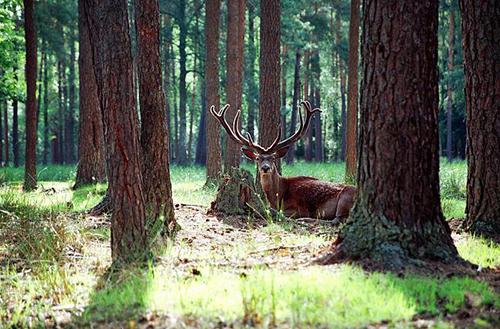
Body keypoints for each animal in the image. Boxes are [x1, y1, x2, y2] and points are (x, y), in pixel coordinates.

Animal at [209, 100, 358, 223]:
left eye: (273, 158)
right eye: (258, 158)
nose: (265, 167)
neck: (278, 195)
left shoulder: (298, 207)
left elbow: (278, 212)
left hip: (345, 198)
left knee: (337, 220)